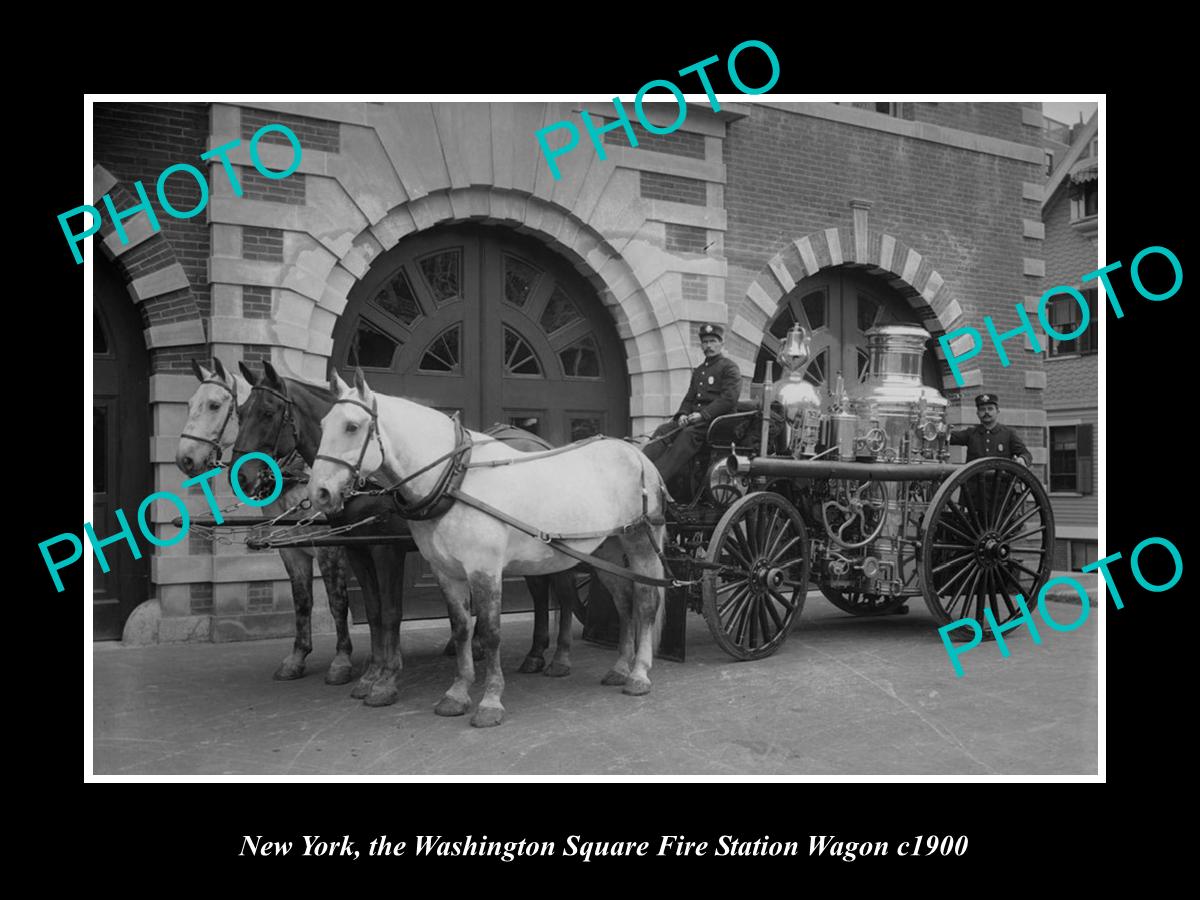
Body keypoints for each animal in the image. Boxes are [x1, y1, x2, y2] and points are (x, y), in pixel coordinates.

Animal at [175, 360, 350, 681]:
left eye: (214, 405)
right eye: (190, 404)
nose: (185, 459)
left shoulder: (330, 546)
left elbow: (337, 600)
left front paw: (342, 660)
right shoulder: (290, 546)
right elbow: (302, 600)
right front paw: (297, 656)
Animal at [229, 362, 576, 710]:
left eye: (268, 412)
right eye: (241, 412)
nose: (241, 476)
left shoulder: (384, 550)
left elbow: (389, 611)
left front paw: (386, 678)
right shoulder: (355, 549)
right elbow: (370, 611)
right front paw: (370, 674)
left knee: (561, 589)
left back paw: (558, 657)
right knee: (539, 590)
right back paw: (534, 653)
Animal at [309, 369, 667, 729]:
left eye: (352, 426)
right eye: (323, 424)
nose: (319, 493)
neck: (456, 480)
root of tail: (636, 453)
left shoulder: (484, 569)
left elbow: (492, 631)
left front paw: (491, 700)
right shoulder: (446, 571)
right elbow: (461, 628)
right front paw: (457, 693)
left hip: (641, 542)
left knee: (646, 602)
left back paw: (638, 673)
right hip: (607, 549)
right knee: (624, 602)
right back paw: (620, 667)